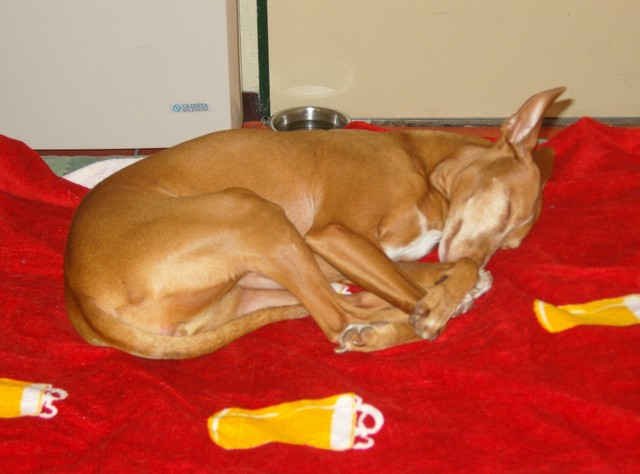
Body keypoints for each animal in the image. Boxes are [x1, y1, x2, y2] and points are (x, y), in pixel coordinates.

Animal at [65, 87, 564, 358]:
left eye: (511, 244)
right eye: (503, 210)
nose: (487, 261)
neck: (421, 164)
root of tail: (78, 294)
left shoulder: (367, 253)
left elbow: (435, 273)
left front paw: (461, 287)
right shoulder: (333, 235)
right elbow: (435, 285)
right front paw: (441, 306)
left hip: (251, 283)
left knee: (343, 305)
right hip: (255, 214)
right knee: (339, 318)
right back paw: (386, 329)